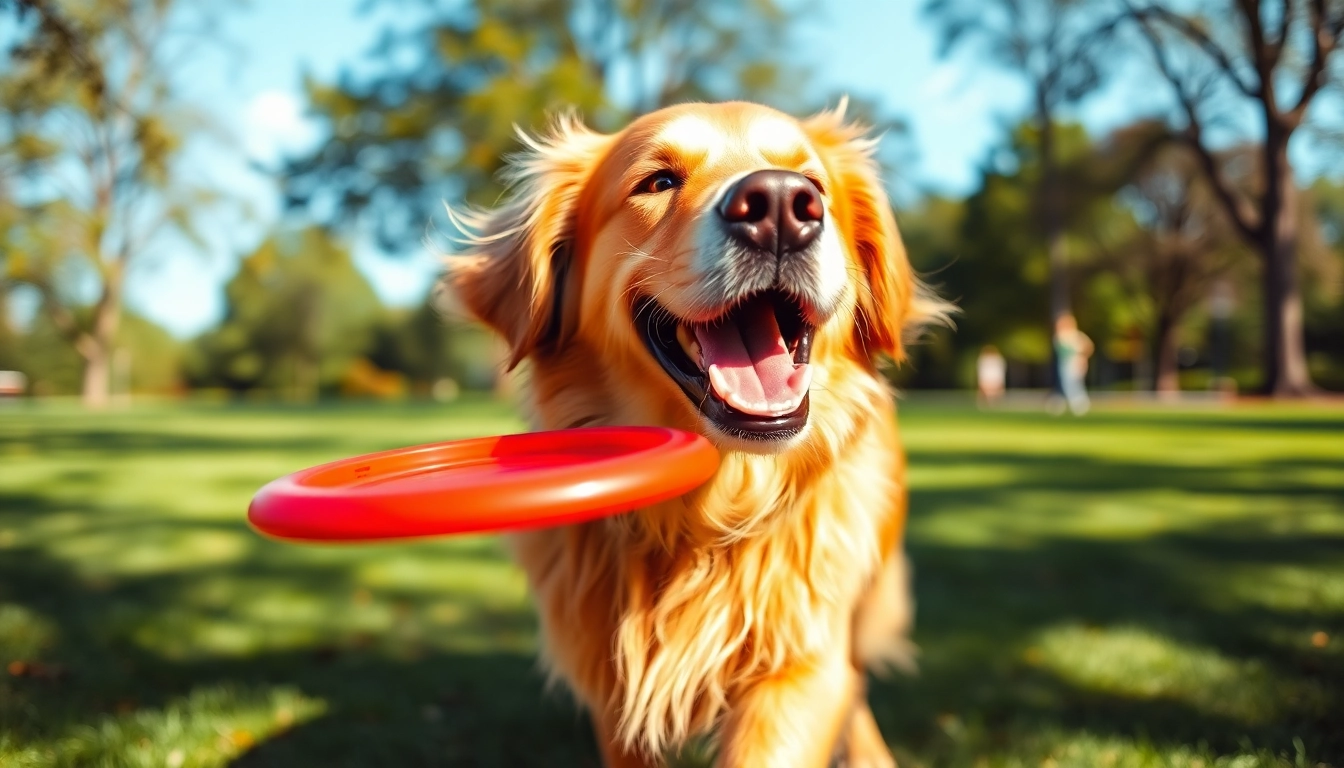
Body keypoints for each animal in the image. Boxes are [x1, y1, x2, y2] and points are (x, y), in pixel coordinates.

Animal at [443, 102, 946, 768]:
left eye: (812, 183)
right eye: (657, 181)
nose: (781, 204)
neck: (708, 517)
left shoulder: (800, 665)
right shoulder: (616, 694)